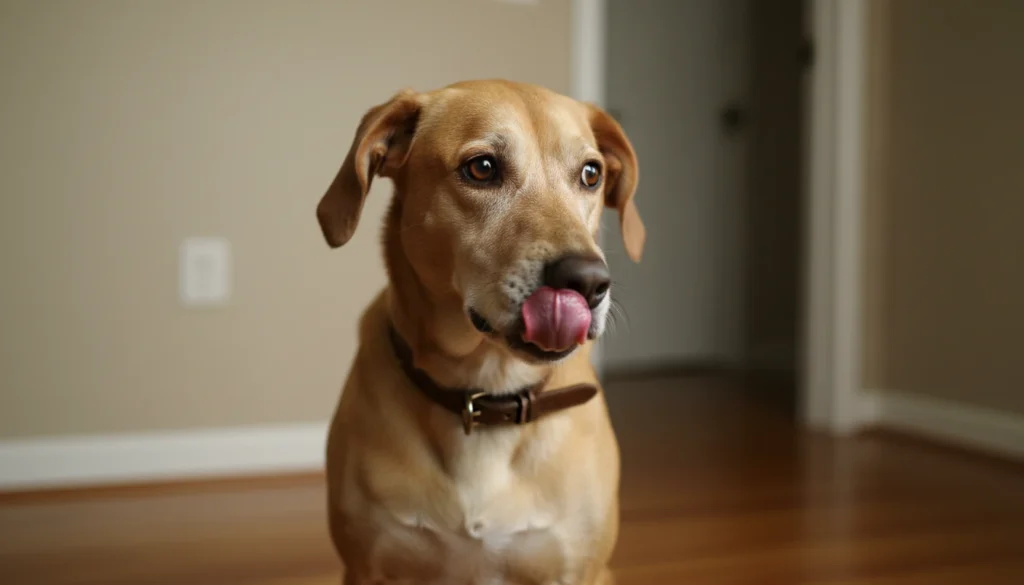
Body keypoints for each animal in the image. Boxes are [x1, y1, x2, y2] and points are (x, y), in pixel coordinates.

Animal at [316, 79, 644, 585]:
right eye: (483, 168)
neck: (488, 389)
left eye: (591, 174)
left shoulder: (578, 568)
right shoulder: (368, 566)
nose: (589, 282)